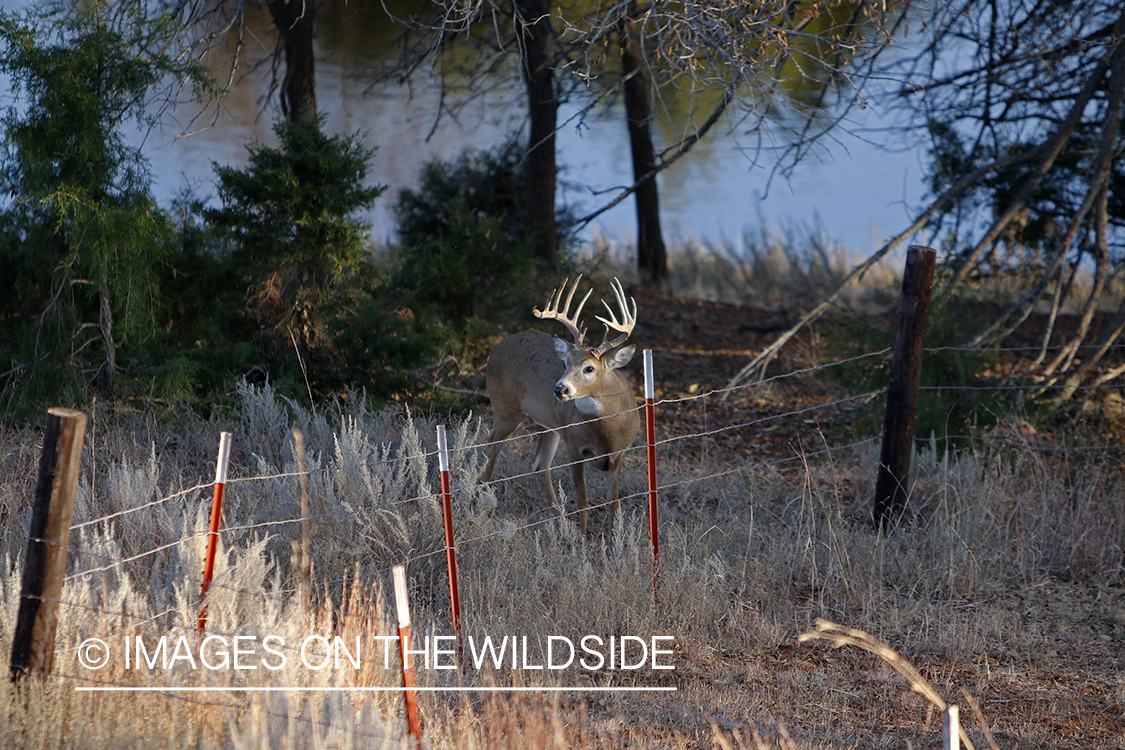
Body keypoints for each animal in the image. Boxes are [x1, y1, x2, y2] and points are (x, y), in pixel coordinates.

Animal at [483, 277, 643, 532]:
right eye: (565, 364)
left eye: (589, 368)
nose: (560, 389)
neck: (607, 432)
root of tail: (494, 351)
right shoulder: (574, 445)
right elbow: (583, 499)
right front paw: (584, 537)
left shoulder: (619, 453)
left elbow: (614, 502)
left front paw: (610, 539)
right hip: (505, 408)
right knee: (491, 448)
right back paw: (483, 504)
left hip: (547, 424)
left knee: (539, 464)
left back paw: (559, 524)